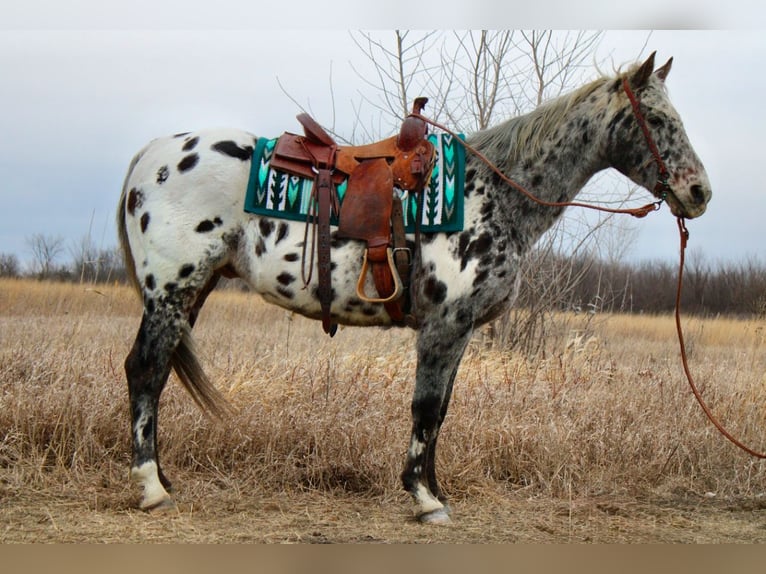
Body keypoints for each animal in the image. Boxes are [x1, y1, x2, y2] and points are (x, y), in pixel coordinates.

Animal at [115, 51, 712, 524]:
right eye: (655, 118)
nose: (699, 192)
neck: (489, 195)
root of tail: (152, 154)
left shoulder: (460, 331)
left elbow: (440, 410)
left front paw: (434, 489)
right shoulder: (444, 327)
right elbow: (425, 407)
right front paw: (425, 499)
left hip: (191, 293)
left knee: (158, 374)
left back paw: (163, 478)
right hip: (171, 291)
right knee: (144, 370)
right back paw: (151, 487)